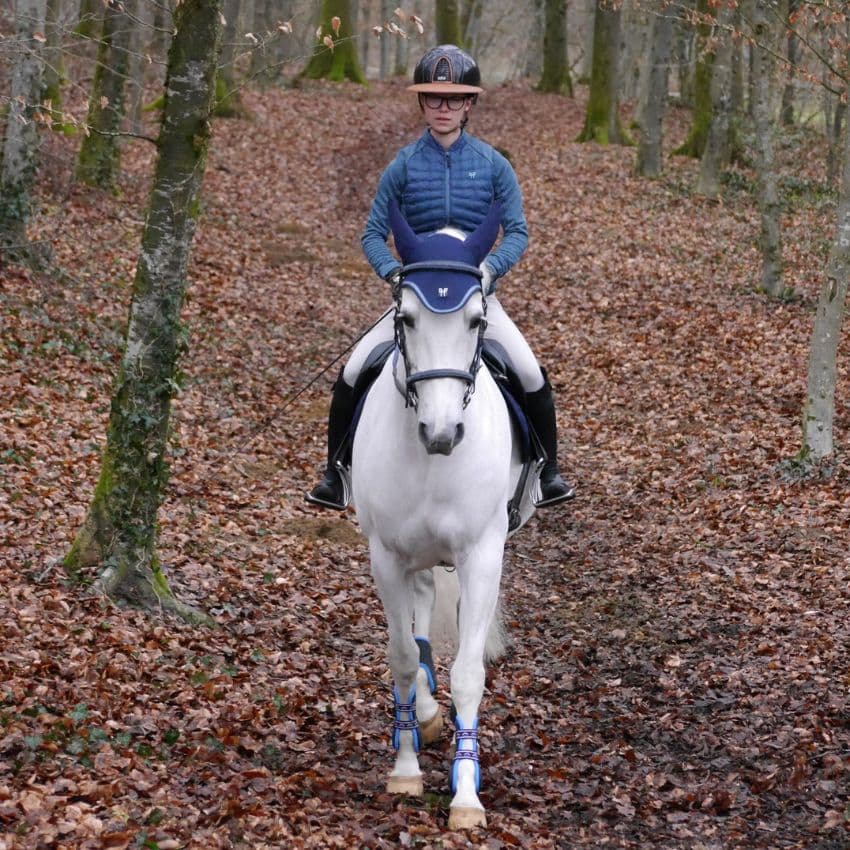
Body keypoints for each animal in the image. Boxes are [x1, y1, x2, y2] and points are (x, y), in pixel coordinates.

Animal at [348, 202, 532, 824]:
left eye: (476, 321)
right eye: (405, 318)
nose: (442, 431)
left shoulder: (481, 556)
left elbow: (470, 674)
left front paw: (467, 796)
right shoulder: (385, 555)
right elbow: (402, 658)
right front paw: (406, 767)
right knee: (422, 609)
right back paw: (424, 714)